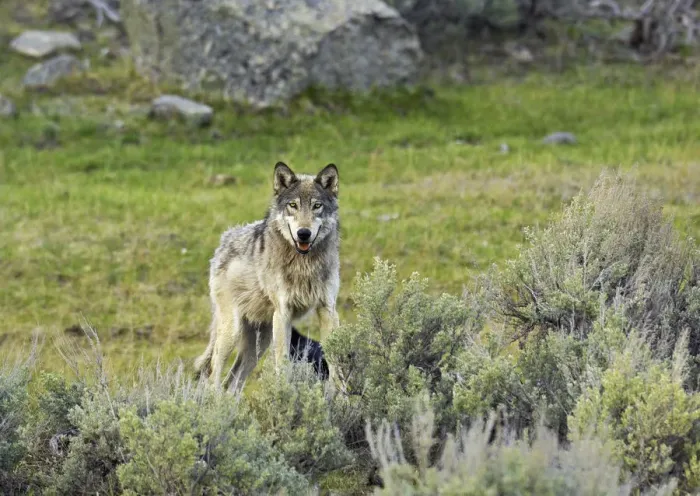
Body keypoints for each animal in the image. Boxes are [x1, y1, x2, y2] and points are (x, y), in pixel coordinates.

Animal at [193, 161, 340, 392]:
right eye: (293, 205)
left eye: (317, 206)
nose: (303, 233)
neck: (303, 263)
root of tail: (224, 241)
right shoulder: (283, 313)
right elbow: (282, 365)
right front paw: (284, 395)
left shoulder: (328, 309)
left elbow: (335, 364)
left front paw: (338, 395)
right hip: (232, 333)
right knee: (213, 378)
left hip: (259, 343)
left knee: (232, 384)